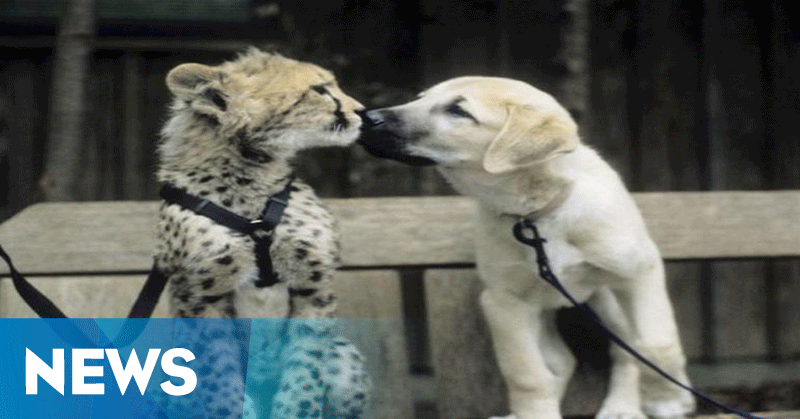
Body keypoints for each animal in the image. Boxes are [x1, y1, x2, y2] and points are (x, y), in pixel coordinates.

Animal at [152, 48, 371, 419]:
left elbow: (305, 374)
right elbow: (221, 382)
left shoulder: (314, 288)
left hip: (346, 364)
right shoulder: (199, 297)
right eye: (320, 90)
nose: (363, 113)